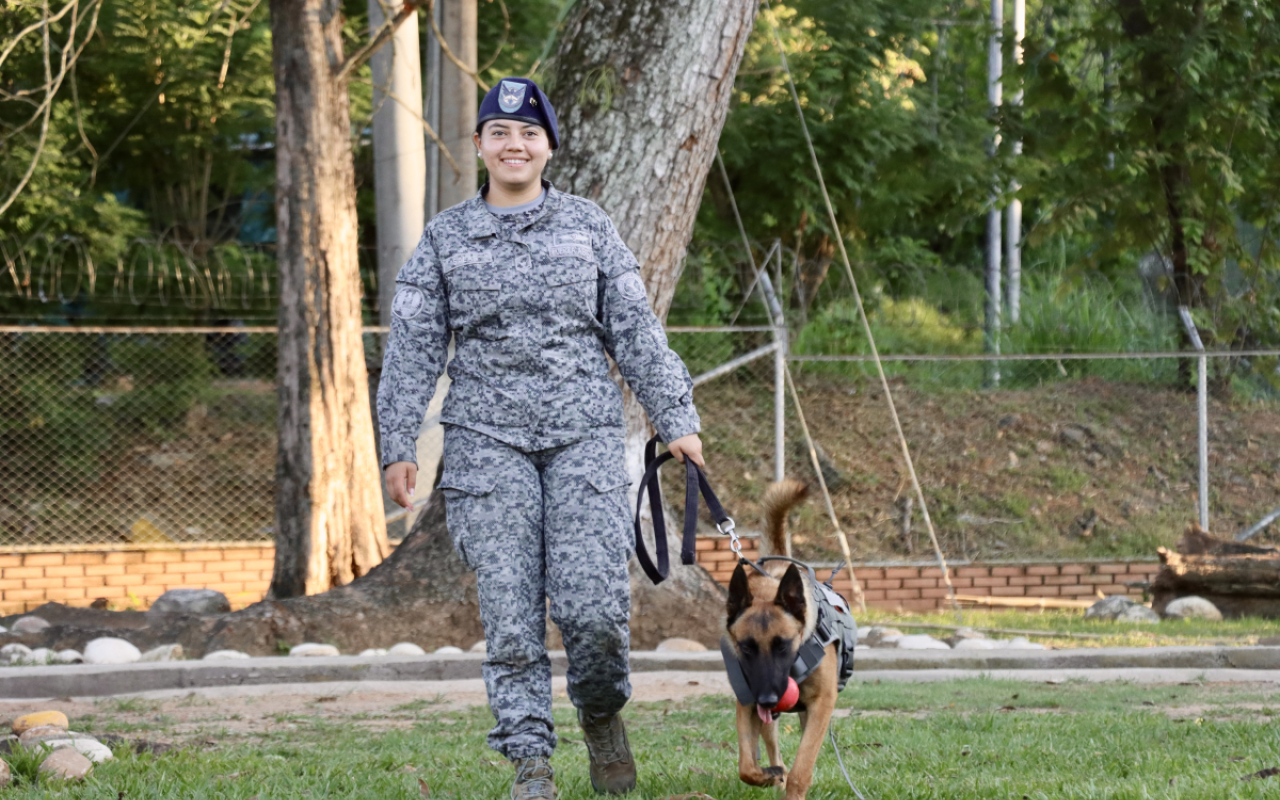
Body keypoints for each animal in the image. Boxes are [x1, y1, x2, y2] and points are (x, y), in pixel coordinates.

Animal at [732, 476, 839, 793]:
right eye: (746, 648)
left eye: (784, 645)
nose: (768, 698)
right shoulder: (747, 702)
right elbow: (746, 766)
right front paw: (769, 776)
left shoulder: (822, 704)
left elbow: (802, 769)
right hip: (769, 719)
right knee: (773, 748)